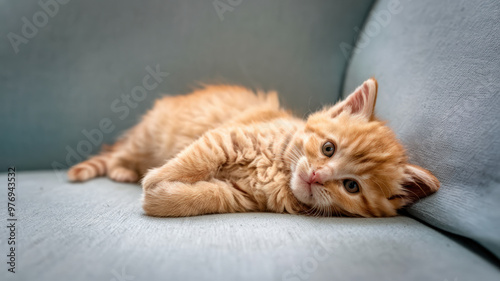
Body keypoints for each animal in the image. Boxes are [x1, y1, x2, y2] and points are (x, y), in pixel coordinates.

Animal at [68, 78, 440, 217]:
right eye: (329, 148)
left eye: (351, 186)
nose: (317, 176)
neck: (279, 170)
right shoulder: (227, 138)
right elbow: (193, 158)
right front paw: (156, 177)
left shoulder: (239, 196)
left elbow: (203, 196)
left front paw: (161, 196)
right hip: (149, 135)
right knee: (120, 152)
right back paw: (123, 170)